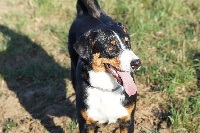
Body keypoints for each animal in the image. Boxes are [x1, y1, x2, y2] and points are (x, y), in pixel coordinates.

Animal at [68, 0, 141, 132]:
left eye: (127, 42)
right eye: (110, 47)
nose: (137, 62)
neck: (107, 88)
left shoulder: (127, 121)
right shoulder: (87, 124)